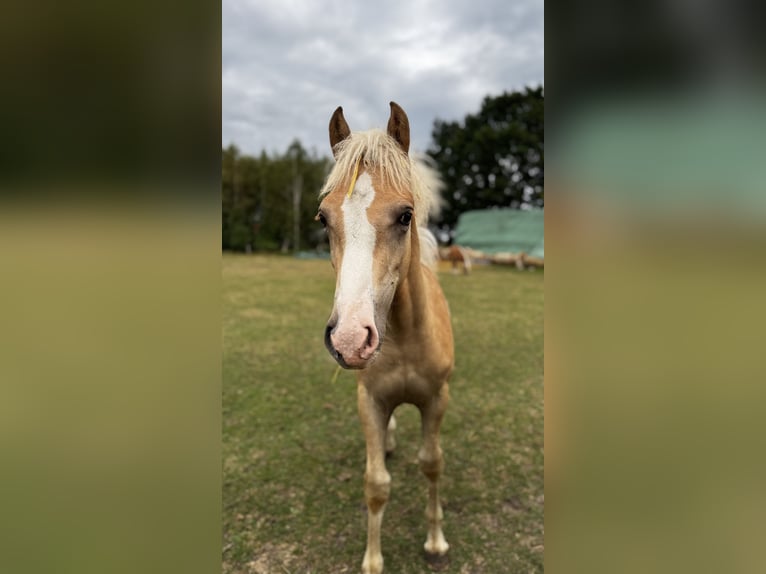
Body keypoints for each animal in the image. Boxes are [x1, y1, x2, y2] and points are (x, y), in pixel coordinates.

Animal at [317, 102, 454, 574]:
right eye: (323, 218)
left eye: (405, 215)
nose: (350, 339)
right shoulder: (371, 402)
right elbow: (376, 483)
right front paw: (373, 560)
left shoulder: (436, 399)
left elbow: (432, 464)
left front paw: (435, 542)